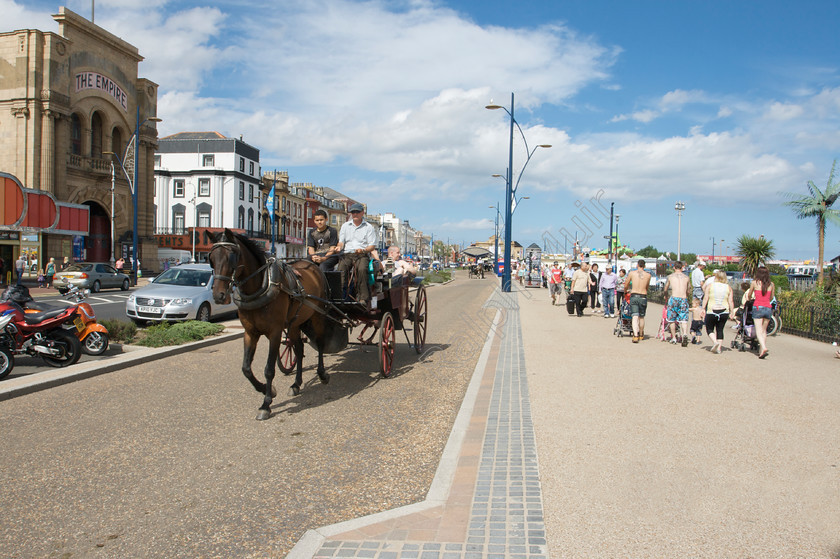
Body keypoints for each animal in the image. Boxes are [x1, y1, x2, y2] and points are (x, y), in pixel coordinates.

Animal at [207, 229, 332, 420]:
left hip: (317, 315)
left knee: (319, 343)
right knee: (298, 348)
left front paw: (266, 404)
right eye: (211, 258)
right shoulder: (250, 332)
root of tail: (312, 265)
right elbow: (246, 368)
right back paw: (296, 384)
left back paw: (322, 374)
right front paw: (268, 390)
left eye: (231, 257)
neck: (259, 287)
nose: (218, 295)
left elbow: (269, 369)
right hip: (295, 322)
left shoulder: (274, 332)